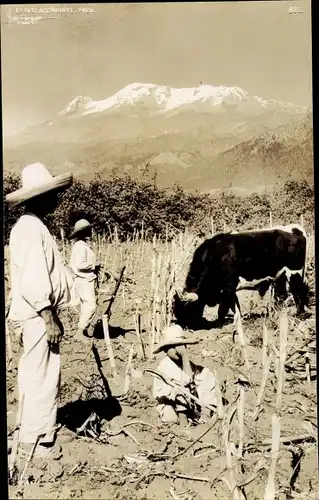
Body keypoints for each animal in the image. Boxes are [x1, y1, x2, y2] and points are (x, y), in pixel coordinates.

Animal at [172, 224, 310, 326]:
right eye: (176, 311)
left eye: (188, 310)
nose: (185, 326)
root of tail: (295, 229)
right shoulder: (229, 290)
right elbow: (235, 305)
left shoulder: (228, 287)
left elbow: (223, 308)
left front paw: (220, 323)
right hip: (280, 275)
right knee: (281, 295)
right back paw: (276, 314)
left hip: (294, 272)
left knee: (298, 292)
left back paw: (300, 315)